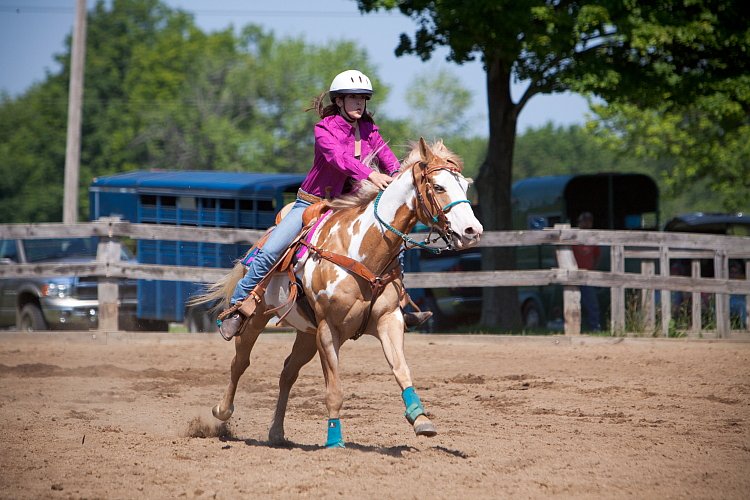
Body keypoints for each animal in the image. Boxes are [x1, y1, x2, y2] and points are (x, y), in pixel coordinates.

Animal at [204, 139, 482, 448]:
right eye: (438, 186)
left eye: (464, 186)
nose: (473, 231)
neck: (363, 252)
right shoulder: (329, 330)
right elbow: (334, 390)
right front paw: (334, 438)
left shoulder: (388, 321)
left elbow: (401, 370)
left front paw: (420, 419)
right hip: (258, 318)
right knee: (240, 362)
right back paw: (222, 410)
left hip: (306, 334)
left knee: (287, 372)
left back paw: (276, 432)